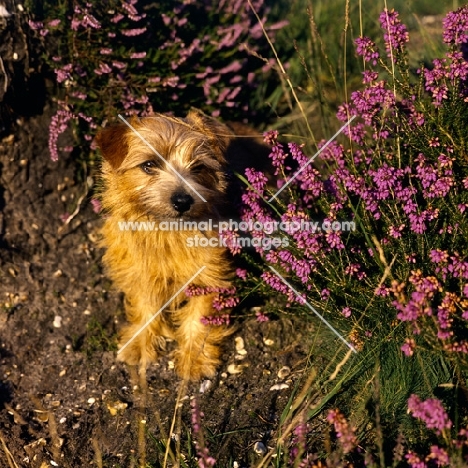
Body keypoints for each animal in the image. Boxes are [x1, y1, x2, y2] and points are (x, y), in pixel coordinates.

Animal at [96, 110, 236, 380]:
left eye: (198, 166)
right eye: (149, 165)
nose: (182, 200)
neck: (166, 234)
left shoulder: (209, 274)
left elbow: (199, 317)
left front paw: (194, 359)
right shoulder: (141, 273)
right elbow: (145, 307)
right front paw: (140, 344)